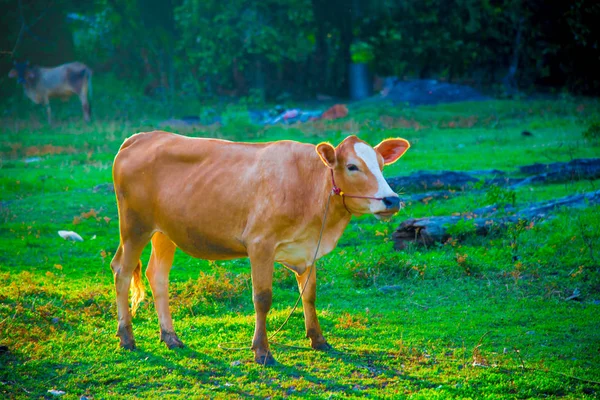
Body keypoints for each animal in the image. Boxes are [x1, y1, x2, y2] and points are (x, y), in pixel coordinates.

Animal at [110, 131, 410, 366]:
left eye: (382, 165)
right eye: (352, 166)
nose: (391, 200)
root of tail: (139, 137)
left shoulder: (308, 248)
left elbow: (309, 295)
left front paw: (318, 339)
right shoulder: (260, 245)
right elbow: (263, 299)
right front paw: (262, 351)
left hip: (165, 232)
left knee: (157, 275)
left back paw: (170, 337)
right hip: (135, 226)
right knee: (122, 271)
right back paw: (127, 337)